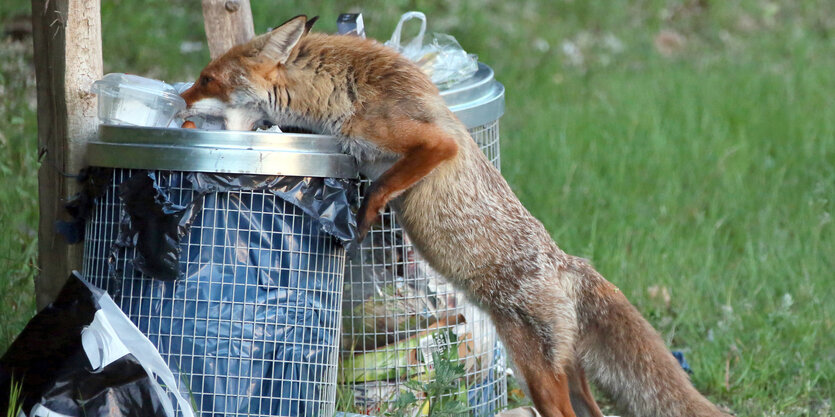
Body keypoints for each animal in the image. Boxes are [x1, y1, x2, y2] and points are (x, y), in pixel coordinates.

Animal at [178, 15, 732, 416]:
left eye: (206, 78)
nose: (177, 100)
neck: (343, 94)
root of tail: (568, 264)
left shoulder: (428, 142)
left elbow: (382, 186)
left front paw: (365, 220)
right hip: (566, 371)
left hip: (536, 373)